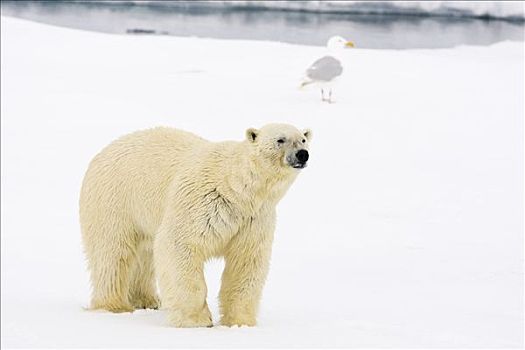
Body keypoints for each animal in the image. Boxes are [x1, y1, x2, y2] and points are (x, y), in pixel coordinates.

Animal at [79, 121, 312, 326]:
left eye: (303, 139)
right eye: (280, 139)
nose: (302, 154)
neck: (238, 188)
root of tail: (103, 151)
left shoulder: (253, 218)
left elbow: (246, 261)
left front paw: (240, 322)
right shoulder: (203, 203)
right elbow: (180, 245)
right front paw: (195, 321)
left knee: (145, 255)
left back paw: (147, 300)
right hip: (115, 201)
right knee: (112, 252)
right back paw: (114, 305)